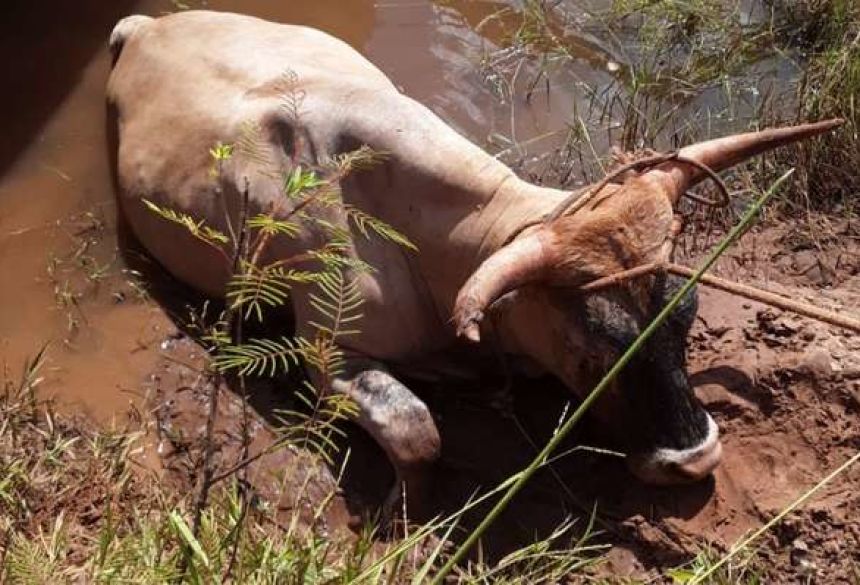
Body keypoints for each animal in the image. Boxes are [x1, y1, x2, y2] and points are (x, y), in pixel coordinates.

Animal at [107, 10, 838, 517]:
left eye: (687, 316)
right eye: (593, 350)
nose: (696, 457)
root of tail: (144, 25)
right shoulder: (326, 351)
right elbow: (417, 430)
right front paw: (405, 506)